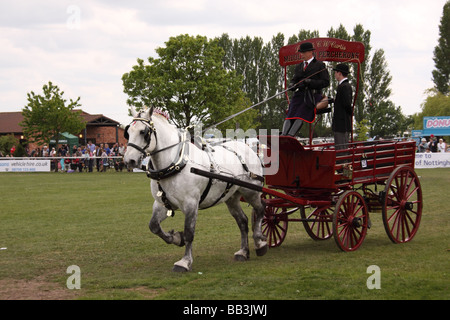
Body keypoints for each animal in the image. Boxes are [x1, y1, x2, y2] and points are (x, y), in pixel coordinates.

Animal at [122, 107, 268, 272]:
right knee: (242, 221)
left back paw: (259, 241)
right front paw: (176, 238)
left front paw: (184, 262)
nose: (129, 160)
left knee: (260, 209)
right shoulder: (161, 204)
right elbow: (154, 226)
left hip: (251, 192)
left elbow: (189, 232)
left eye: (144, 132)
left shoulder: (191, 204)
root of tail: (249, 149)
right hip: (231, 197)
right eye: (128, 132)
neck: (176, 163)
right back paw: (243, 252)